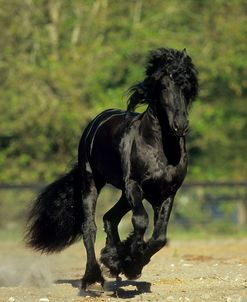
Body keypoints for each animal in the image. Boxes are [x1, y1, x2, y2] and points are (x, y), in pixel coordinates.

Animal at [25, 48, 199, 292]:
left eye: (187, 86)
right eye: (164, 86)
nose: (180, 125)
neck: (161, 148)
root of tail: (96, 121)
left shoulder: (167, 193)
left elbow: (159, 237)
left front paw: (126, 262)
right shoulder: (134, 185)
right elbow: (141, 221)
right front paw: (129, 261)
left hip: (125, 195)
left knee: (110, 217)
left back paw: (112, 260)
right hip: (93, 182)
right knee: (89, 226)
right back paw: (92, 278)